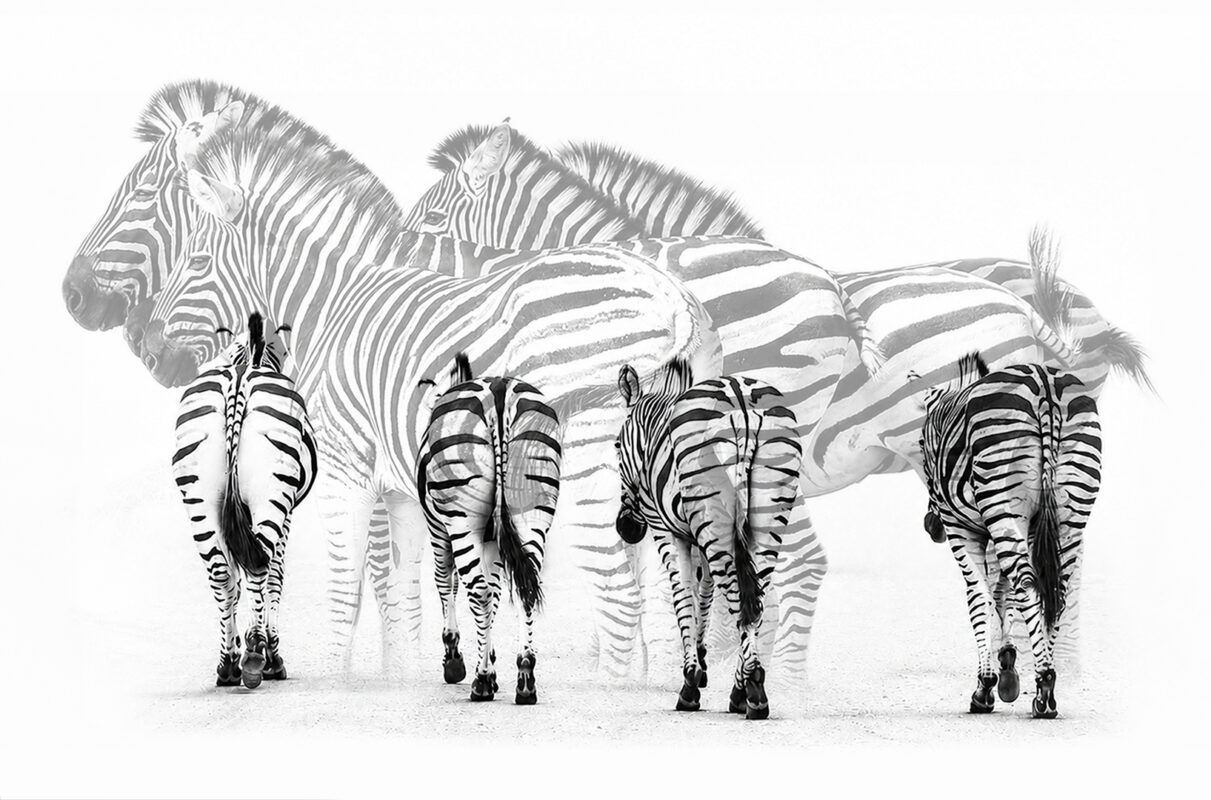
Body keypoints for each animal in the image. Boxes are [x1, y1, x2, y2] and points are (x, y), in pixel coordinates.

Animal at [172, 310, 317, 689]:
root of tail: (239, 381)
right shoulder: (287, 512)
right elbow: (275, 577)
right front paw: (268, 652)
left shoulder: (231, 516)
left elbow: (235, 583)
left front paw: (236, 649)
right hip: (271, 497)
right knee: (260, 565)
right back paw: (256, 657)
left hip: (200, 500)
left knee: (222, 573)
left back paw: (227, 666)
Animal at [417, 353, 562, 703]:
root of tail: (499, 391)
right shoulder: (494, 540)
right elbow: (496, 592)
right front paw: (492, 661)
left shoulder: (438, 531)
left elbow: (447, 584)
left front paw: (456, 662)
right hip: (532, 511)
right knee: (525, 588)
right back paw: (526, 678)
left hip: (461, 519)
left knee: (478, 592)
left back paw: (481, 682)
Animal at [615, 359, 801, 718]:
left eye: (616, 446)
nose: (626, 529)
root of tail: (742, 399)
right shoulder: (700, 531)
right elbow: (704, 592)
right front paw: (700, 661)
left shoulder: (667, 530)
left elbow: (683, 597)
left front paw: (691, 678)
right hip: (763, 513)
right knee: (754, 597)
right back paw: (746, 688)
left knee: (737, 596)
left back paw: (749, 689)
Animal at [919, 354, 1102, 718]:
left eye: (920, 445)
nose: (931, 527)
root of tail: (1045, 383)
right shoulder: (1024, 528)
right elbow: (1003, 594)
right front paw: (1007, 669)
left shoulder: (962, 528)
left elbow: (980, 597)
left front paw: (985, 685)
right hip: (1069, 513)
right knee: (1055, 590)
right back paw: (1046, 684)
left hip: (1001, 500)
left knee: (1029, 584)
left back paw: (1045, 685)